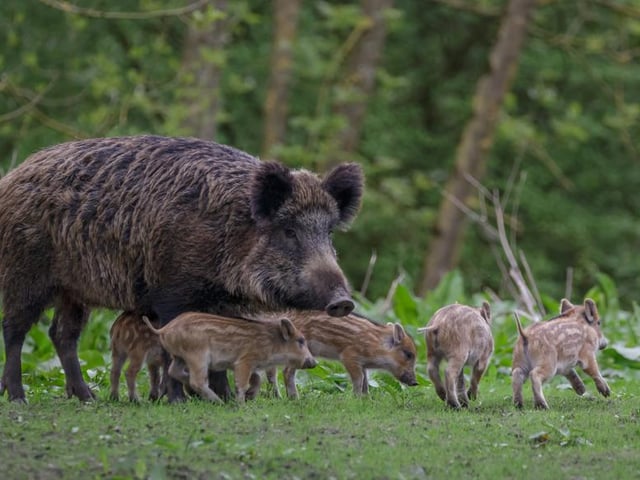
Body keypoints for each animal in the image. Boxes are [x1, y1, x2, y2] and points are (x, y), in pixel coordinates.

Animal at [142, 312, 317, 403]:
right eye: (301, 341)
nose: (314, 362)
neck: (271, 342)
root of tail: (164, 329)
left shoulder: (252, 365)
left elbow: (257, 379)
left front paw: (249, 397)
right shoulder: (244, 361)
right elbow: (242, 384)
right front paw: (241, 404)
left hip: (179, 356)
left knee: (174, 371)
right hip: (197, 356)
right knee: (197, 381)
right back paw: (218, 401)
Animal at [264, 311, 418, 398]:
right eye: (408, 354)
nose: (415, 382)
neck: (377, 345)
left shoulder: (362, 364)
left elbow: (365, 381)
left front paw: (366, 399)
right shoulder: (349, 357)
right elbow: (359, 379)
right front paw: (356, 399)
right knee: (286, 371)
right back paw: (294, 398)